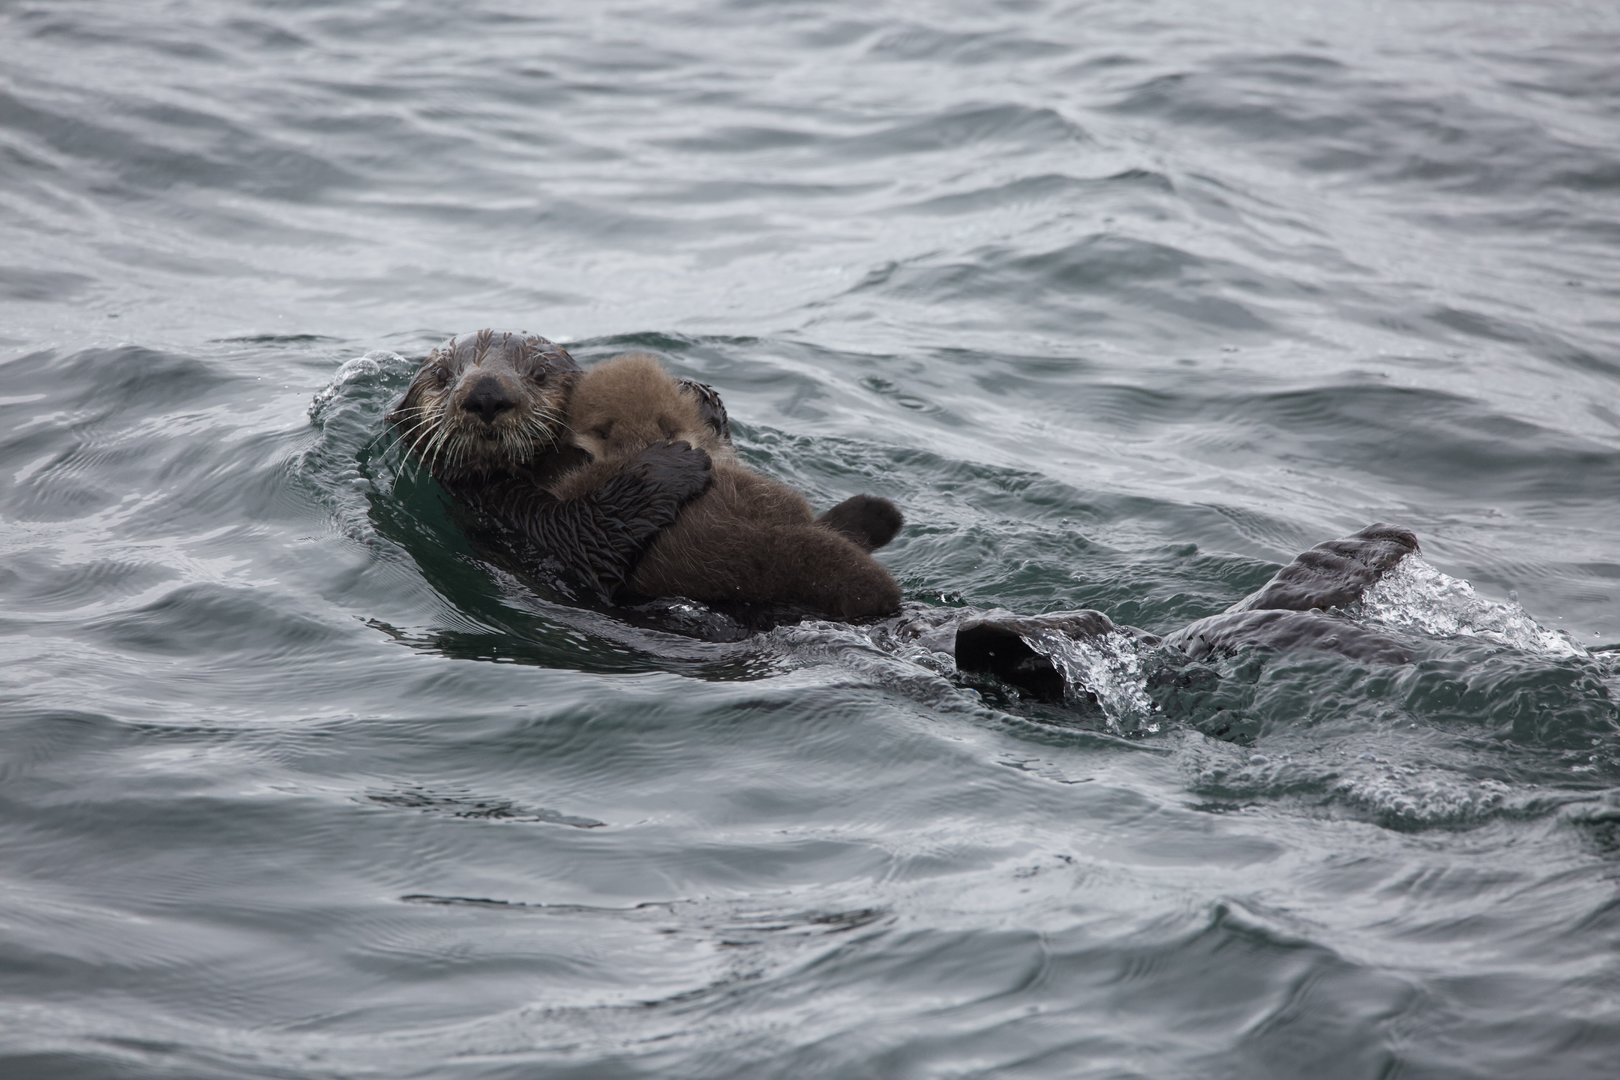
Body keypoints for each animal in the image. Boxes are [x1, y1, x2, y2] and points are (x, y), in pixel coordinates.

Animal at [388, 330, 714, 601]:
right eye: (441, 375)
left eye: (540, 374)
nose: (486, 393)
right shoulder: (516, 516)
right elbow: (590, 535)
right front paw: (668, 465)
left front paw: (698, 395)